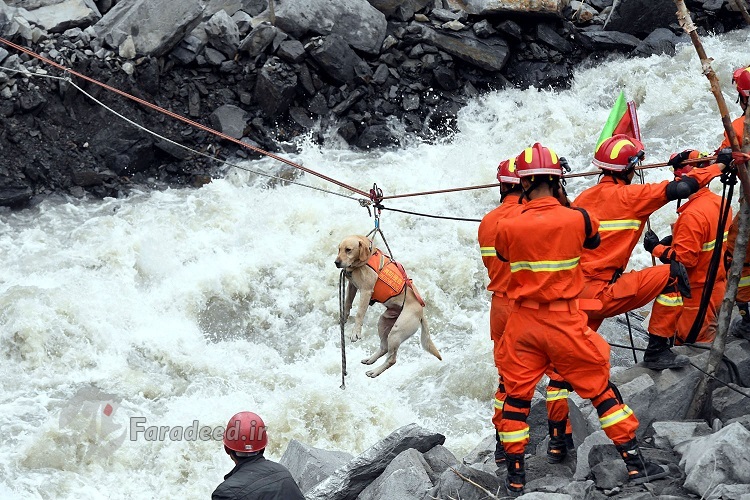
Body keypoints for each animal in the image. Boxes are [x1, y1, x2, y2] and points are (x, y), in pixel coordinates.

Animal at [334, 236, 440, 376]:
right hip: (384, 323)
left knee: (392, 359)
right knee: (384, 348)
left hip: (396, 332)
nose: (336, 262)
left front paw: (355, 333)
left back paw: (375, 372)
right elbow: (347, 303)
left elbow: (359, 314)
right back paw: (370, 360)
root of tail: (421, 314)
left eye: (348, 250)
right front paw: (343, 318)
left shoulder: (366, 291)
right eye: (339, 249)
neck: (366, 259)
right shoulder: (352, 286)